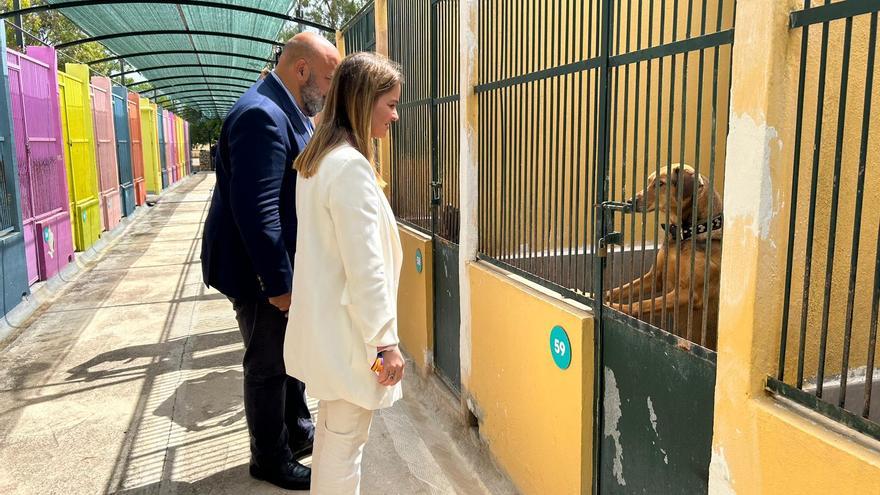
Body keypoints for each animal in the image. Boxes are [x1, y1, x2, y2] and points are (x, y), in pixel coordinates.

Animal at [604, 165, 720, 350]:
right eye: (649, 181)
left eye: (661, 183)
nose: (629, 201)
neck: (683, 235)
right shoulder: (655, 278)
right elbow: (619, 290)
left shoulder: (687, 293)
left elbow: (641, 304)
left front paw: (613, 307)